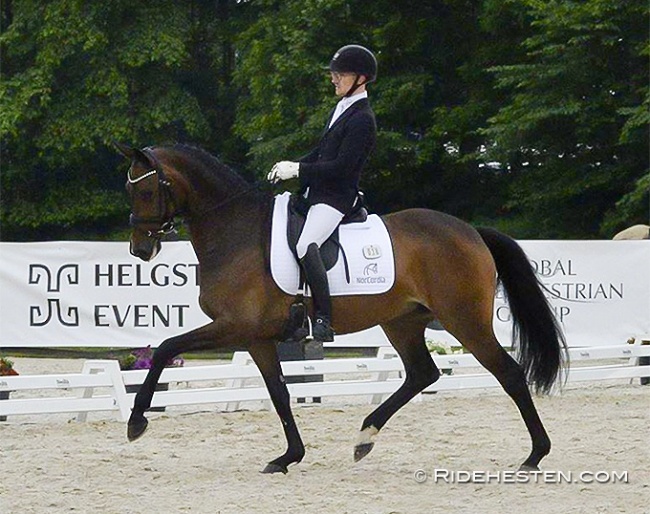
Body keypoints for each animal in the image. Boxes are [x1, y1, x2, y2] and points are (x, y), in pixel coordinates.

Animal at [114, 142, 564, 474]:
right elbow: (279, 393)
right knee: (423, 373)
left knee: (508, 373)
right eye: (130, 190)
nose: (140, 250)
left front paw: (137, 422)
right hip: (402, 322)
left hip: (463, 319)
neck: (235, 232)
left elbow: (166, 348)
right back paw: (365, 438)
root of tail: (470, 231)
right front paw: (288, 457)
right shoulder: (256, 336)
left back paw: (535, 455)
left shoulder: (233, 326)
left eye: (148, 191)